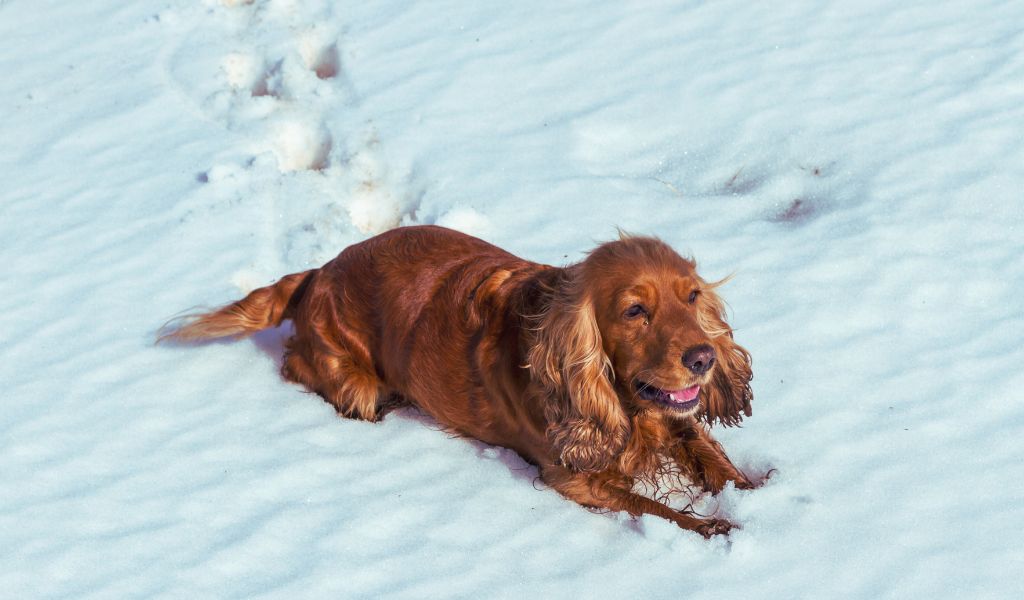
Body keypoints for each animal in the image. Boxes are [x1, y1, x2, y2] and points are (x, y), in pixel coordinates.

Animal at [159, 224, 753, 532]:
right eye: (634, 311)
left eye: (692, 296)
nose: (704, 357)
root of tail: (316, 273)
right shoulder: (572, 478)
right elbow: (653, 507)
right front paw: (711, 527)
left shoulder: (672, 415)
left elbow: (707, 451)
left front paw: (752, 492)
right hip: (350, 379)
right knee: (299, 366)